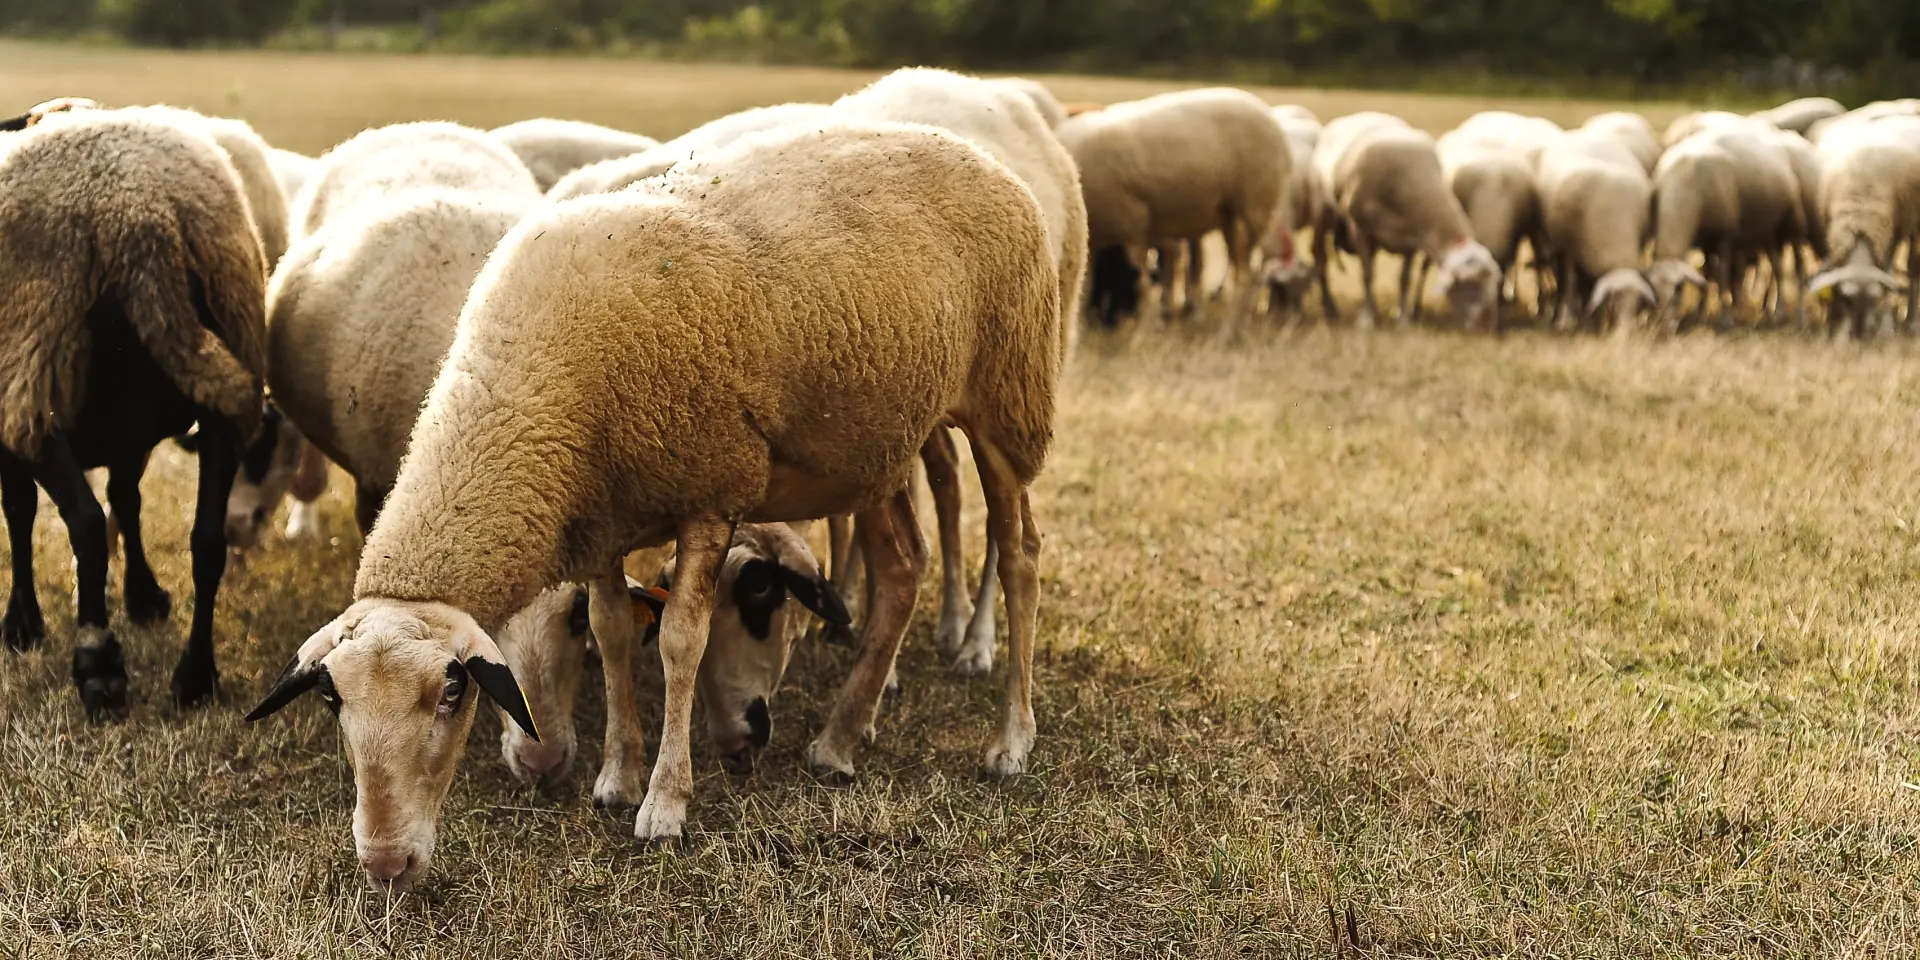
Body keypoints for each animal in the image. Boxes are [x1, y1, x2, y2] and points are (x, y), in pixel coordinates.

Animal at [0, 107, 266, 714]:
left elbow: (23, 512)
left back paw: (98, 665)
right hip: (223, 372)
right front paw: (144, 596)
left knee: (85, 525)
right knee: (206, 540)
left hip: (35, 375)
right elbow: (127, 499)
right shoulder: (130, 433)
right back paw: (195, 676)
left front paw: (21, 623)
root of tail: (139, 216)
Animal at [1056, 87, 1289, 326]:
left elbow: (1143, 283)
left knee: (1245, 275)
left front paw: (1146, 325)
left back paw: (1229, 328)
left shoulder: (1133, 224)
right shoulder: (1095, 240)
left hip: (1255, 206)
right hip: (1230, 216)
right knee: (1243, 271)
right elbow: (1086, 287)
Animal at [1312, 112, 1502, 327]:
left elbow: (1404, 279)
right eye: (1472, 283)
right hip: (1322, 209)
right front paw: (1366, 320)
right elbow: (1367, 275)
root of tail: (1354, 116)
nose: (1488, 327)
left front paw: (1403, 319)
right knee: (1321, 258)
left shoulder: (1411, 239)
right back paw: (1330, 307)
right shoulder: (1360, 229)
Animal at [1535, 129, 1657, 332]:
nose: (1627, 332)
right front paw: (1571, 319)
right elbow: (1570, 284)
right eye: (1614, 302)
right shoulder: (1566, 248)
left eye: (1638, 304)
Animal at [1806, 116, 1920, 337]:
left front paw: (1885, 327)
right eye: (1847, 299)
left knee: (1914, 267)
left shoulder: (1887, 233)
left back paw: (1912, 321)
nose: (1859, 335)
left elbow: (1887, 273)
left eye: (1874, 299)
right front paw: (1833, 325)